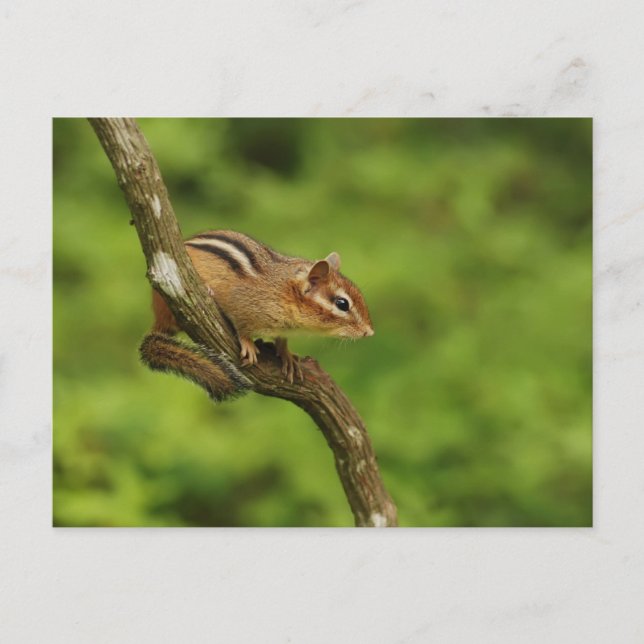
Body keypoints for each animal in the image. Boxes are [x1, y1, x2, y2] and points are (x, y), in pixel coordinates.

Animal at [140, 230, 374, 402]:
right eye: (342, 304)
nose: (369, 332)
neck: (284, 291)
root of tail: (158, 318)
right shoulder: (241, 305)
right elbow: (242, 327)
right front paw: (249, 344)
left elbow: (281, 341)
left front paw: (287, 356)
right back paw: (207, 290)